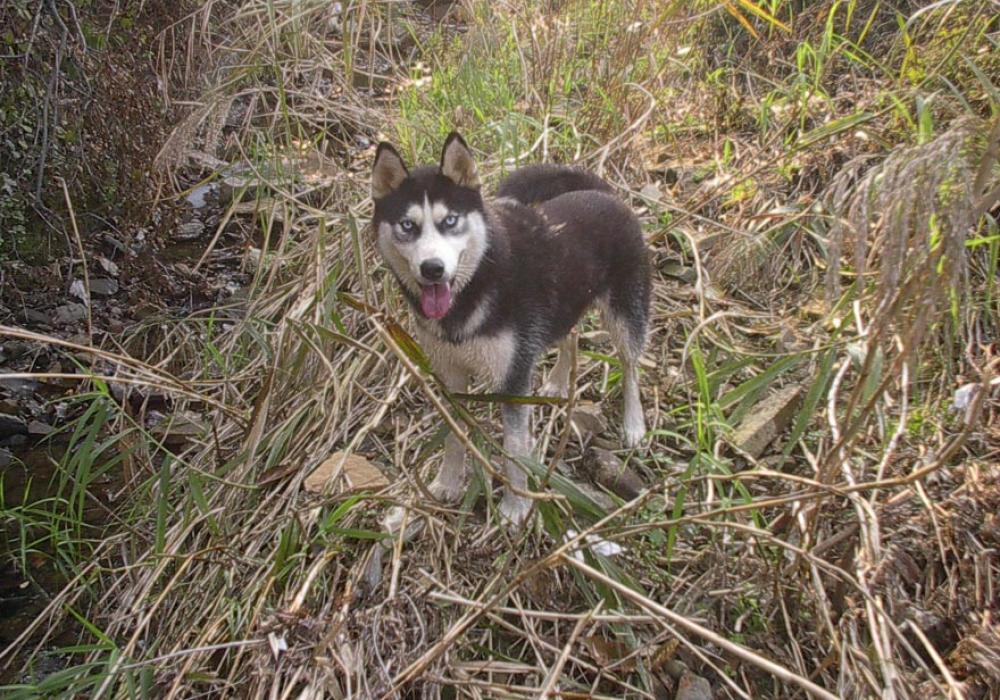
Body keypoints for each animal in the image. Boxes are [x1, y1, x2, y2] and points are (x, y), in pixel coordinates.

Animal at [372, 133, 652, 524]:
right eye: (407, 226)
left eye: (451, 220)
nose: (432, 269)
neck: (476, 282)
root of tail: (605, 192)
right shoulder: (450, 375)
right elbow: (454, 435)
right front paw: (447, 482)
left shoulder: (513, 381)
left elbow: (514, 448)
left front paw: (516, 508)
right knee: (569, 339)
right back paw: (557, 382)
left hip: (626, 315)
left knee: (630, 366)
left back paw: (633, 424)